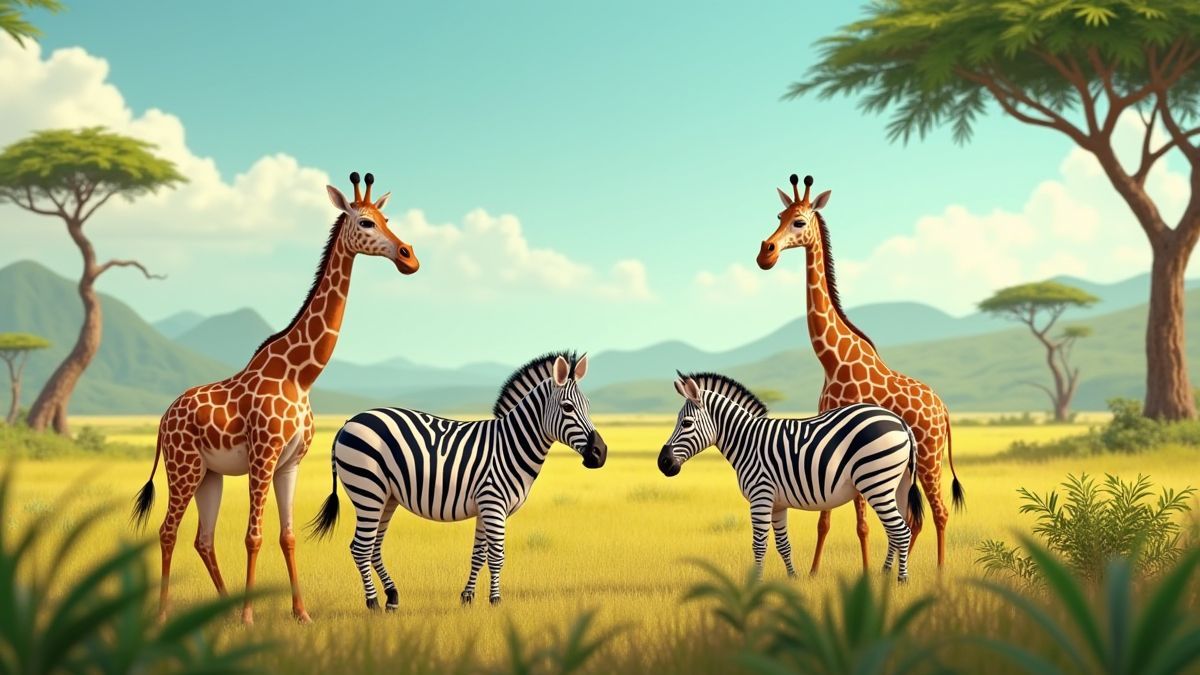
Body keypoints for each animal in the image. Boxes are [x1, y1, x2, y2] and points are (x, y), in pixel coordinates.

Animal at [308, 352, 607, 609]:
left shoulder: (485, 507)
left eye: (590, 406)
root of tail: (348, 422)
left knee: (373, 548)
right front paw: (495, 601)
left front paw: (467, 597)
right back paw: (372, 604)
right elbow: (496, 555)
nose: (600, 453)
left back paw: (392, 597)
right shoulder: (493, 503)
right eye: (567, 407)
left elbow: (478, 554)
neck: (510, 444)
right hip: (367, 490)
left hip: (386, 497)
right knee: (360, 548)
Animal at [657, 372, 923, 582]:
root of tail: (900, 421)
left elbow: (759, 544)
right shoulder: (777, 503)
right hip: (896, 485)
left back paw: (902, 580)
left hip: (876, 482)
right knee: (897, 530)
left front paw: (757, 585)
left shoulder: (760, 496)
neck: (747, 442)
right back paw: (885, 574)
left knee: (901, 531)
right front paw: (792, 577)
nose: (663, 463)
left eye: (686, 423)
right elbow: (783, 544)